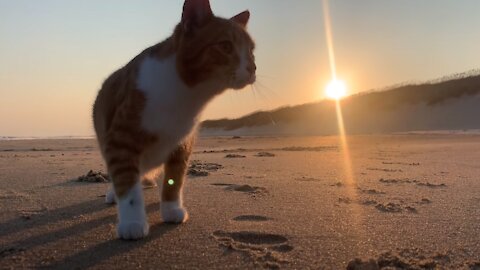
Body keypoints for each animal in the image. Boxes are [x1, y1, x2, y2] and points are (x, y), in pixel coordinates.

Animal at [93, 0, 255, 240]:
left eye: (251, 51)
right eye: (226, 46)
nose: (253, 67)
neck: (185, 95)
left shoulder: (183, 143)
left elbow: (174, 179)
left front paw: (170, 209)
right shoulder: (120, 139)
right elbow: (127, 184)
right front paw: (132, 222)